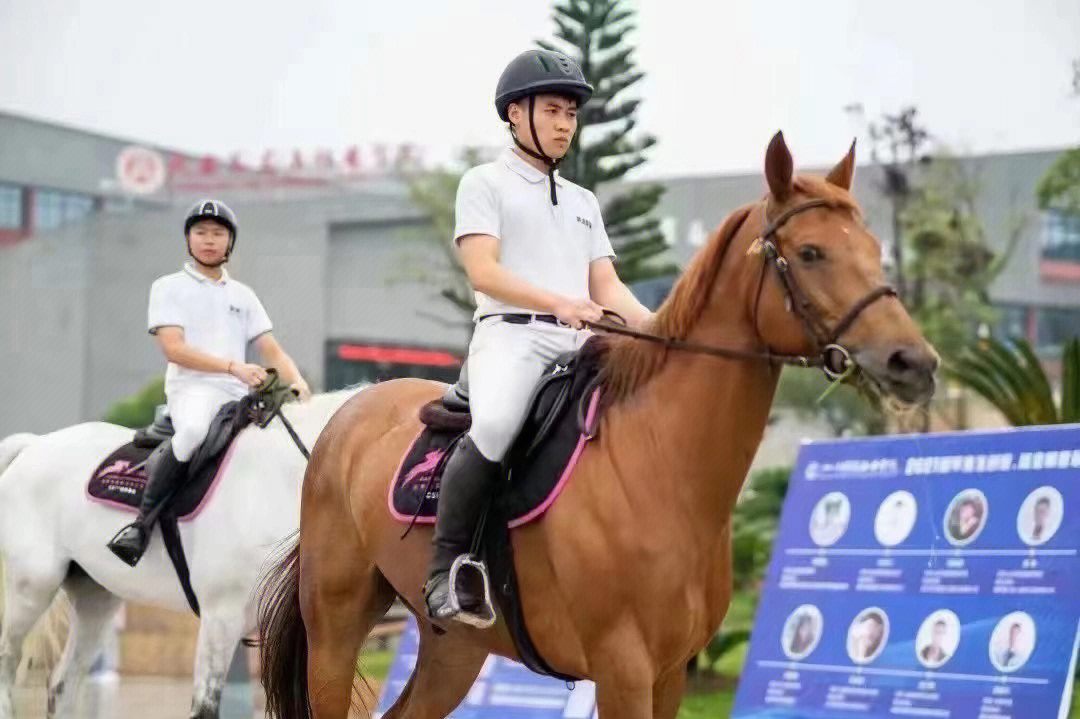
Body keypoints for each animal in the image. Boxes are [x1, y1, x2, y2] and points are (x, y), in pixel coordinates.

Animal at [0, 388, 360, 716]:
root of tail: (34, 445)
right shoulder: (221, 616)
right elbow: (204, 707)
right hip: (32, 587)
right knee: (8, 660)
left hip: (96, 600)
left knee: (63, 685)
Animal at [254, 131, 937, 712]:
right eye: (811, 252)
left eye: (876, 250)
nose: (916, 363)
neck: (661, 462)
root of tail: (346, 416)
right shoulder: (622, 666)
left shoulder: (669, 672)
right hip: (337, 628)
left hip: (455, 649)